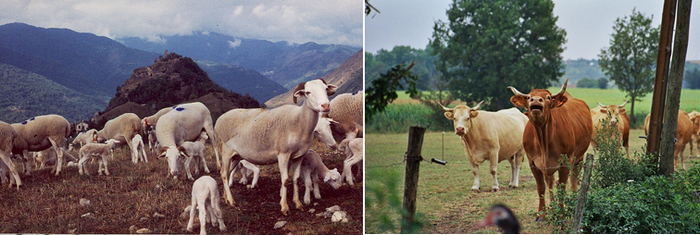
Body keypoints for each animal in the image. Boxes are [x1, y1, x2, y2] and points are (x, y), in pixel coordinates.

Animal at [217, 78, 338, 214]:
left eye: (325, 89)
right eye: (308, 92)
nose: (325, 106)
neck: (299, 122)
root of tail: (219, 119)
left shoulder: (299, 156)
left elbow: (296, 179)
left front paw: (298, 204)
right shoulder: (283, 155)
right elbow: (285, 180)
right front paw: (284, 207)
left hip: (235, 156)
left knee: (226, 173)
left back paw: (226, 199)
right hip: (226, 153)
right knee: (223, 174)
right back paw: (232, 201)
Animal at [508, 78, 592, 220]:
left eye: (547, 97)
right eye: (529, 97)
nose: (536, 100)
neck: (543, 141)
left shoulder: (565, 163)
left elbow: (562, 187)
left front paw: (561, 213)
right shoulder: (533, 163)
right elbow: (541, 187)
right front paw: (541, 214)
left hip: (579, 157)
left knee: (573, 178)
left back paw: (573, 200)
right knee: (550, 182)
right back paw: (552, 206)